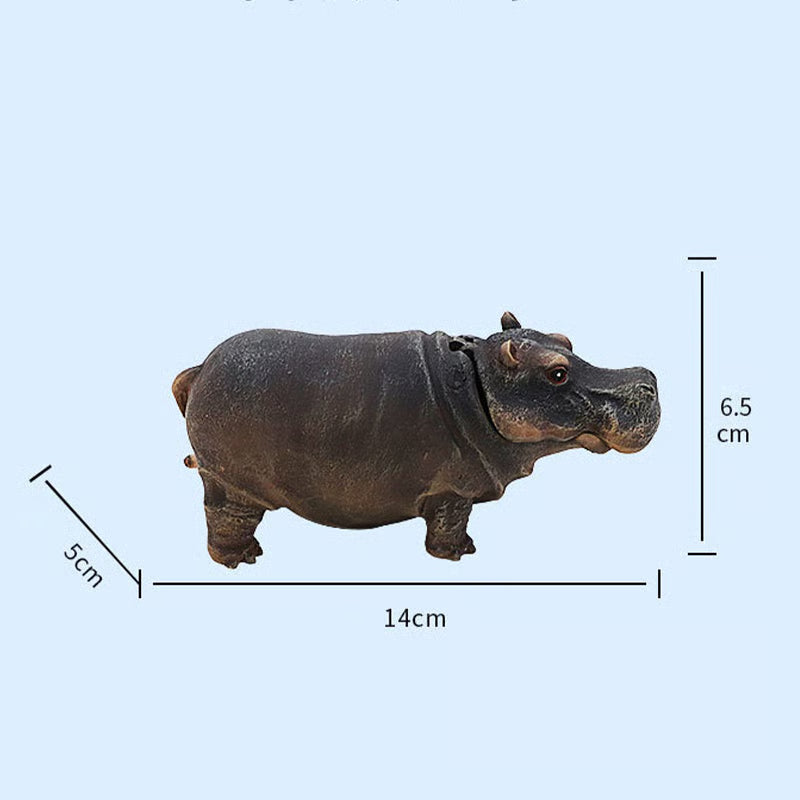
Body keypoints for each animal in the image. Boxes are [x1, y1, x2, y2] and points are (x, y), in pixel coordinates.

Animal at [173, 312, 660, 568]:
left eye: (564, 339)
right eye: (556, 372)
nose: (647, 379)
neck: (481, 380)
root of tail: (198, 371)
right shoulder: (453, 490)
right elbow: (449, 524)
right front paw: (459, 556)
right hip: (231, 484)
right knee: (225, 519)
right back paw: (241, 559)